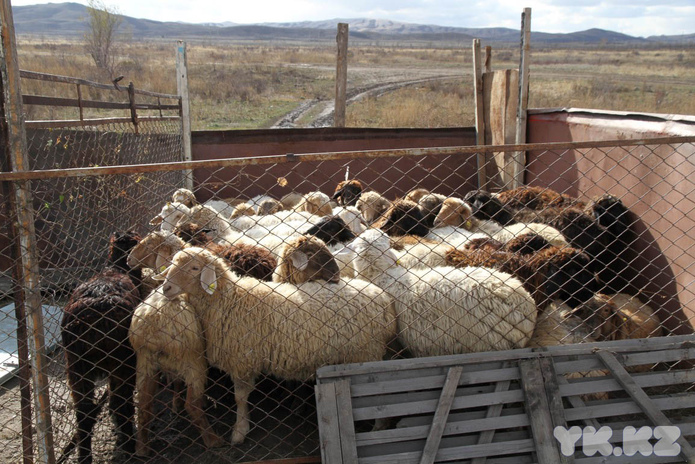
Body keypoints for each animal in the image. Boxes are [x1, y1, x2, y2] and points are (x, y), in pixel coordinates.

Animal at [61, 232, 143, 464]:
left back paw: (84, 456)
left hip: (77, 365)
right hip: (121, 361)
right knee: (120, 404)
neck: (117, 268)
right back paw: (130, 446)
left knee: (84, 413)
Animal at [156, 246, 396, 446]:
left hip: (367, 352)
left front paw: (239, 431)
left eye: (195, 268)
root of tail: (383, 299)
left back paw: (379, 427)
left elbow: (240, 398)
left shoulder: (243, 360)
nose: (166, 288)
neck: (228, 300)